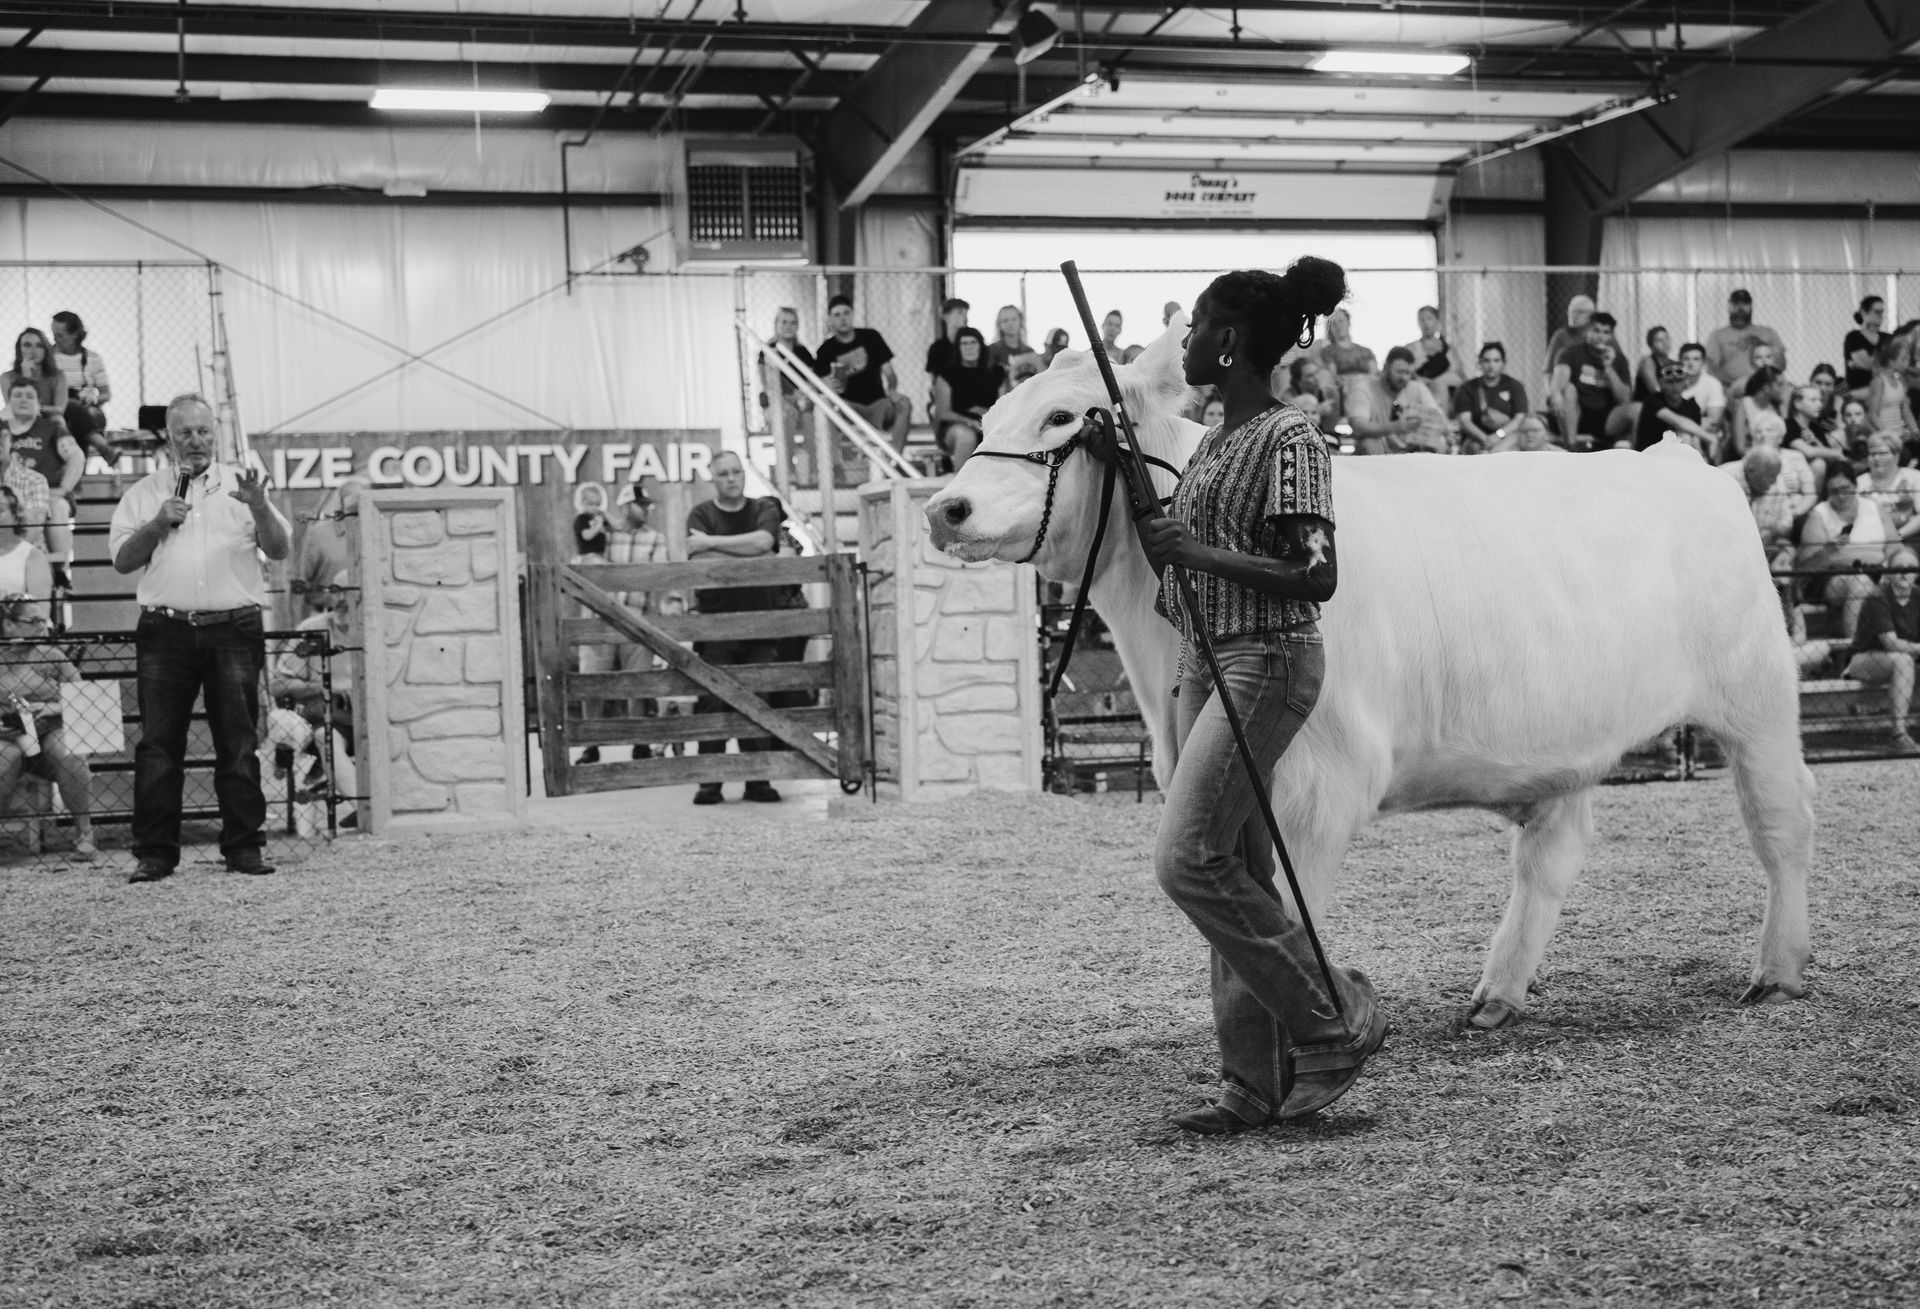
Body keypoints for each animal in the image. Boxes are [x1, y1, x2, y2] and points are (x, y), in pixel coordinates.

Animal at [924, 315, 1815, 1027]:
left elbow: (1288, 909)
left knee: (1781, 825)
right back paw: (1497, 994)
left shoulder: (1321, 783)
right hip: (1561, 739)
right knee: (1551, 854)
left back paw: (1778, 970)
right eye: (990, 414)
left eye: (1061, 415)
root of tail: (1687, 461)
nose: (944, 507)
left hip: (1759, 699)